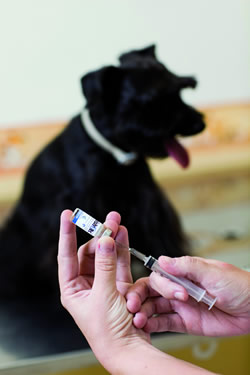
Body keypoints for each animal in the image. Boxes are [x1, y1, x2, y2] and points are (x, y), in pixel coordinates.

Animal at [0, 44, 205, 302]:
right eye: (153, 101)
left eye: (181, 89)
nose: (200, 124)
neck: (112, 154)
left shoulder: (149, 202)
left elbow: (162, 234)